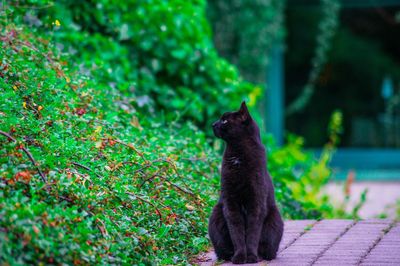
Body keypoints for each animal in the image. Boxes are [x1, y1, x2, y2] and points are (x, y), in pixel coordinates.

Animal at [208, 101, 282, 264]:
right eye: (220, 119)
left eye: (225, 120)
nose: (213, 124)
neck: (238, 155)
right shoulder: (230, 202)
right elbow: (237, 232)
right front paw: (240, 257)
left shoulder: (256, 203)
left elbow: (253, 233)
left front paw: (251, 257)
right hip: (216, 216)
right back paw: (229, 256)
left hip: (275, 220)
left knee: (268, 249)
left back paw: (260, 256)